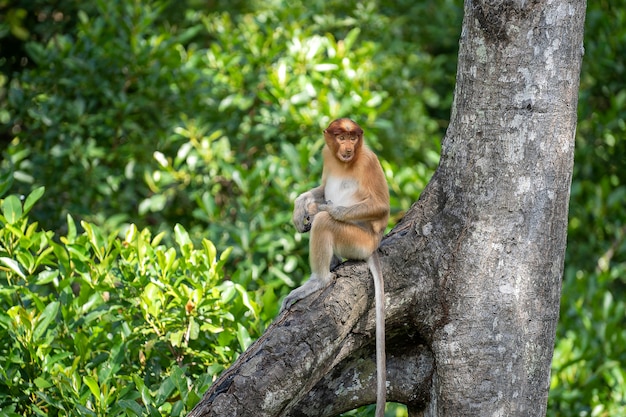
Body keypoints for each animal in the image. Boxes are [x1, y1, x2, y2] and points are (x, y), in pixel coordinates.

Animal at [282, 117, 388, 416]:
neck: (345, 163)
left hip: (357, 240)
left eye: (353, 137)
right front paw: (300, 207)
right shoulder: (327, 156)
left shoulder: (368, 160)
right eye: (341, 136)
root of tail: (373, 245)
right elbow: (320, 187)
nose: (348, 148)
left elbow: (381, 205)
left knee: (325, 224)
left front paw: (319, 208)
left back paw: (319, 279)